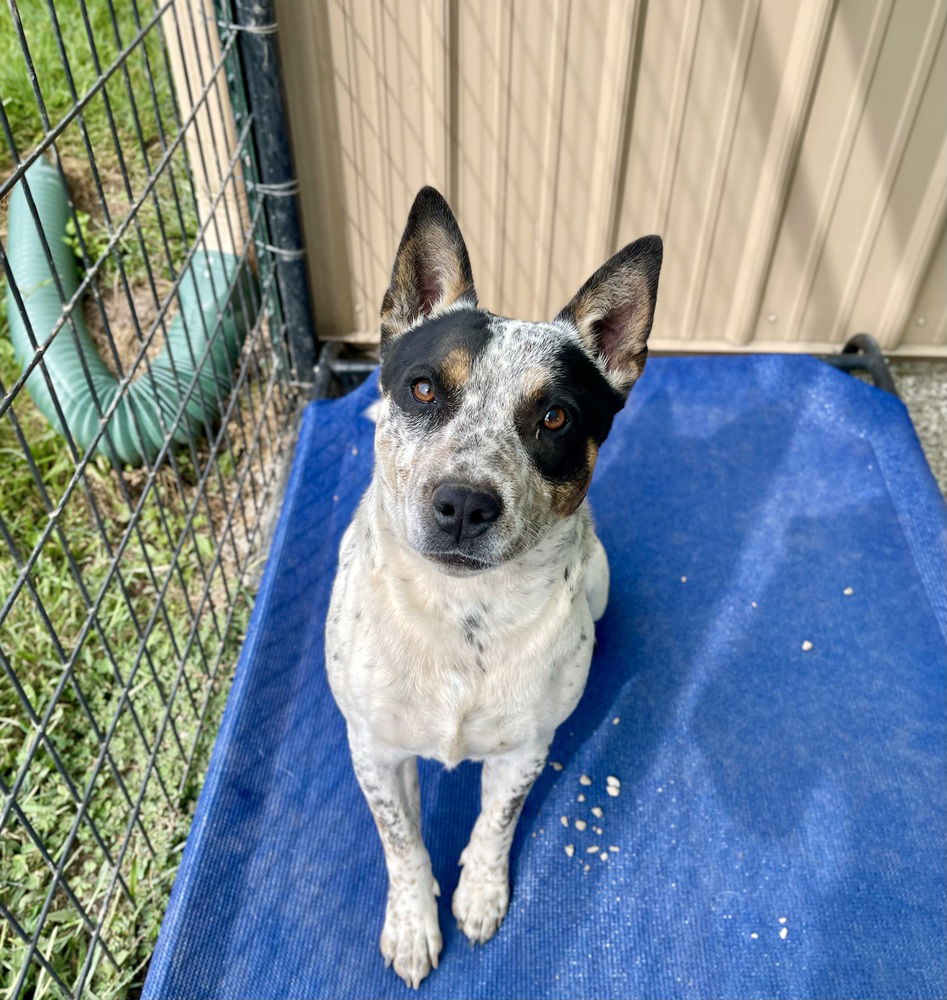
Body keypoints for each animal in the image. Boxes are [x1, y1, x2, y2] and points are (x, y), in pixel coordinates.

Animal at [330, 189, 664, 992]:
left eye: (555, 417)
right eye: (422, 387)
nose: (463, 504)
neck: (463, 617)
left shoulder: (523, 750)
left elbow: (494, 823)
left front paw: (480, 893)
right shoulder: (375, 750)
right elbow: (402, 843)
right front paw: (413, 922)